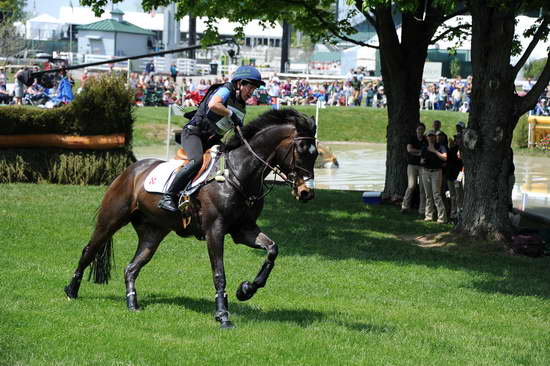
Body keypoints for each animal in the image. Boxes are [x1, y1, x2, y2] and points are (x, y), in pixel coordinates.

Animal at [63, 108, 320, 328]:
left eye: (316, 154)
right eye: (301, 151)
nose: (306, 192)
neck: (238, 174)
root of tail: (131, 170)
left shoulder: (243, 230)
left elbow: (272, 249)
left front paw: (246, 289)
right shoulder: (215, 231)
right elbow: (219, 274)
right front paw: (223, 316)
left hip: (153, 233)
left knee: (131, 268)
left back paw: (132, 303)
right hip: (111, 220)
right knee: (89, 250)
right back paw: (71, 291)